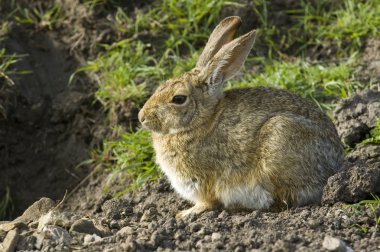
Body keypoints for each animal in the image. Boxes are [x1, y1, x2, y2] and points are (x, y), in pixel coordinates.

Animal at [139, 15, 344, 218]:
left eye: (179, 99)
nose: (142, 117)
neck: (201, 121)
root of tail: (336, 165)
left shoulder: (203, 183)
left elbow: (207, 202)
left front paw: (186, 213)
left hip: (280, 140)